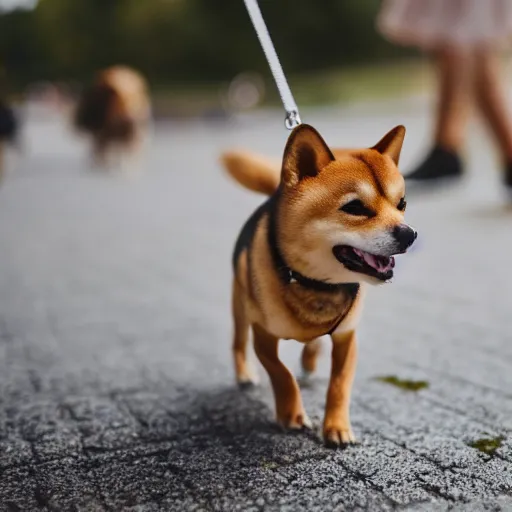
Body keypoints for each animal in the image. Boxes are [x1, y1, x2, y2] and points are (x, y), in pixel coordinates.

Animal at [220, 125, 416, 448]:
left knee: (313, 344)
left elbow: (339, 383)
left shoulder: (347, 337)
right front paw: (291, 415)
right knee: (238, 341)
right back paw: (244, 374)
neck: (316, 284)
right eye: (355, 207)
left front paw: (336, 427)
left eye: (401, 205)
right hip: (240, 306)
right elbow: (282, 373)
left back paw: (310, 361)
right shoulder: (263, 336)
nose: (409, 234)